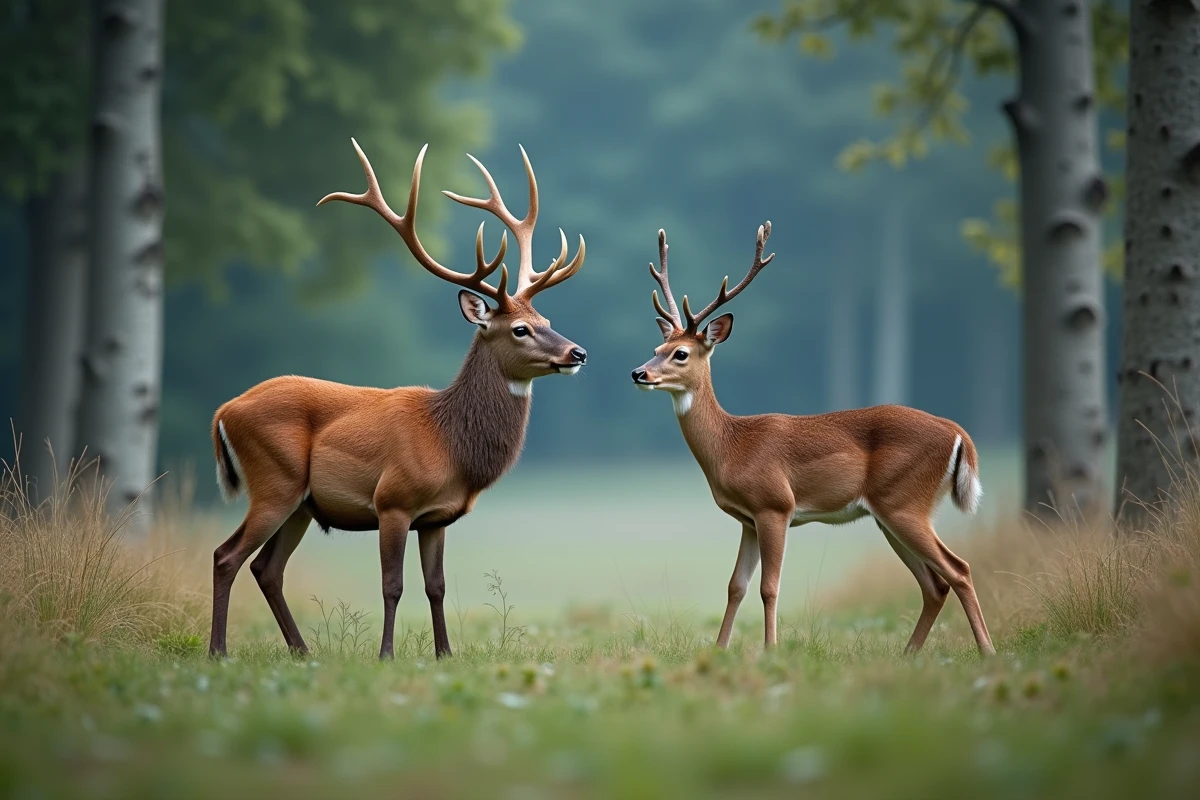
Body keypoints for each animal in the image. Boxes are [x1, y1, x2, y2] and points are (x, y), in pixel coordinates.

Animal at [208, 140, 588, 660]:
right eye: (520, 329)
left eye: (546, 319)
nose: (577, 353)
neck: (450, 444)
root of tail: (223, 412)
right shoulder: (392, 501)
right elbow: (393, 585)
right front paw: (386, 654)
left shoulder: (437, 518)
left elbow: (436, 586)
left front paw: (445, 654)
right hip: (274, 481)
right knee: (226, 555)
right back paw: (219, 652)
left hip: (301, 504)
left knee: (266, 568)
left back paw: (303, 653)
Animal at [631, 222, 996, 657]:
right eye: (657, 347)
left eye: (681, 354)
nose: (638, 373)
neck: (731, 446)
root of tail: (960, 435)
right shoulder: (748, 519)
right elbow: (736, 586)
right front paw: (719, 650)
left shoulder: (775, 504)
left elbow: (769, 587)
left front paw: (771, 651)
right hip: (889, 513)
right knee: (934, 584)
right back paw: (909, 656)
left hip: (904, 502)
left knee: (959, 569)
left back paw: (988, 652)